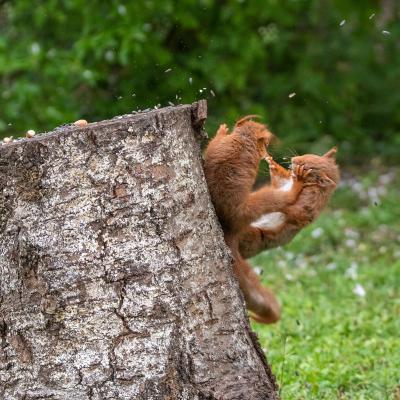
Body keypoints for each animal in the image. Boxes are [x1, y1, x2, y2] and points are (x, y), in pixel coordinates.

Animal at [203, 117, 312, 324]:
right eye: (266, 137)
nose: (272, 140)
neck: (241, 139)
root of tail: (231, 228)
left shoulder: (217, 147)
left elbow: (212, 144)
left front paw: (222, 129)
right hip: (259, 201)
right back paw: (296, 186)